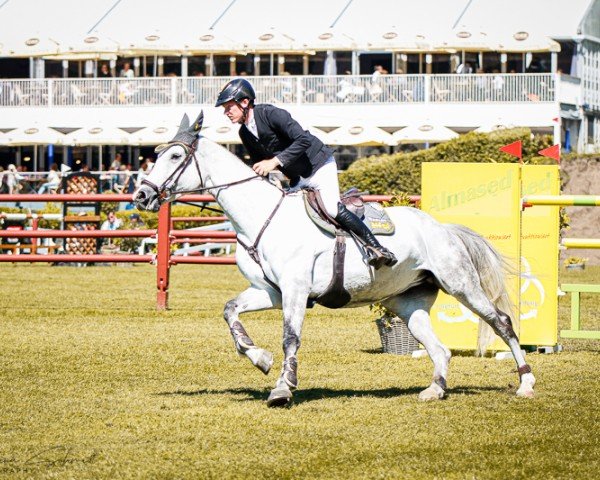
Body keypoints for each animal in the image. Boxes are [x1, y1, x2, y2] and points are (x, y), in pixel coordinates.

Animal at [134, 111, 536, 404]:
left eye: (174, 156)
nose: (141, 196)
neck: (261, 216)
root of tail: (442, 228)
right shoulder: (270, 292)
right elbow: (230, 312)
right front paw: (260, 359)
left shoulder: (295, 290)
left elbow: (290, 337)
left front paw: (283, 388)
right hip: (408, 302)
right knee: (440, 349)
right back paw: (435, 390)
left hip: (461, 284)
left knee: (501, 322)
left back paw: (526, 383)